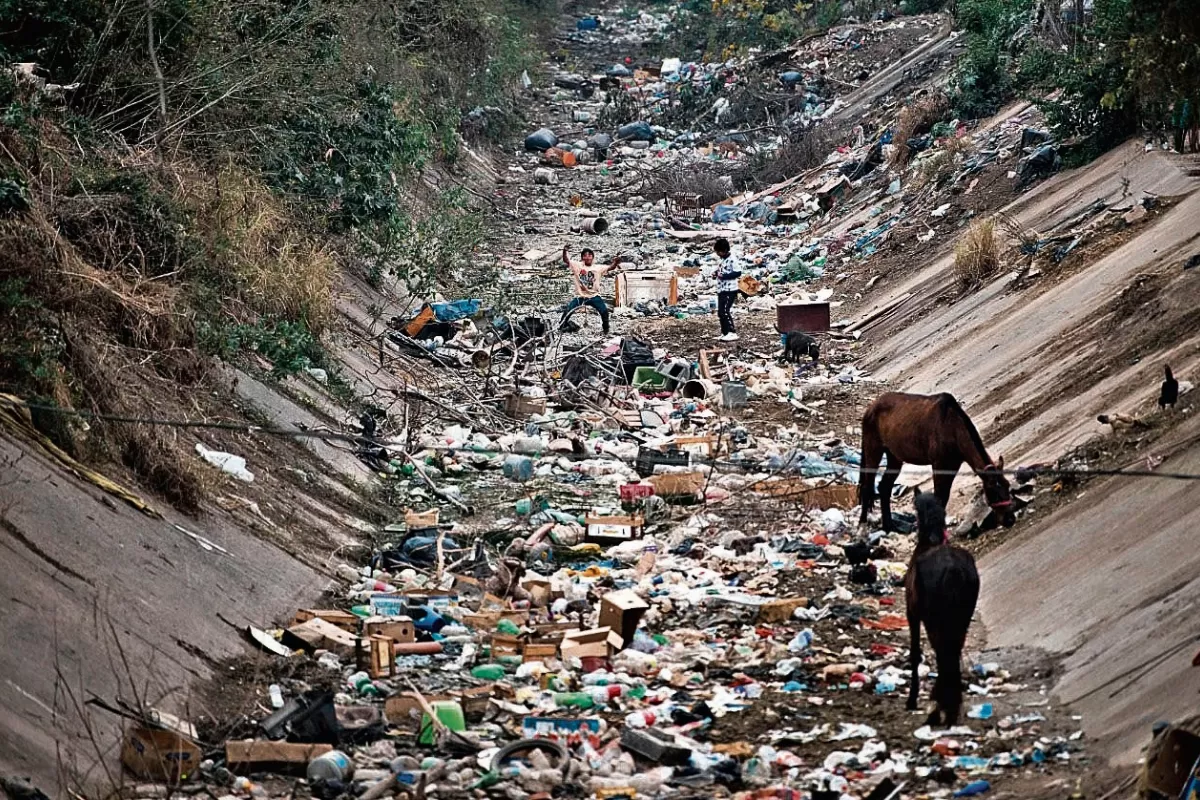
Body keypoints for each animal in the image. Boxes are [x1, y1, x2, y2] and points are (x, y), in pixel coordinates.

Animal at [859, 393, 1017, 532]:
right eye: (993, 491)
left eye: (1007, 486)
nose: (1010, 519)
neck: (953, 427)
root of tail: (869, 409)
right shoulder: (939, 464)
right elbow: (939, 496)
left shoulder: (952, 465)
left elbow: (943, 497)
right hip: (873, 449)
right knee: (867, 486)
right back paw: (863, 523)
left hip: (894, 456)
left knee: (884, 487)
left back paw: (889, 526)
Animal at [902, 491, 979, 729]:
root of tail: (952, 569)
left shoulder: (912, 614)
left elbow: (916, 653)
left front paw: (912, 699)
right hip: (962, 616)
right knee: (952, 649)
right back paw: (950, 705)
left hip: (934, 619)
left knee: (942, 651)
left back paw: (938, 708)